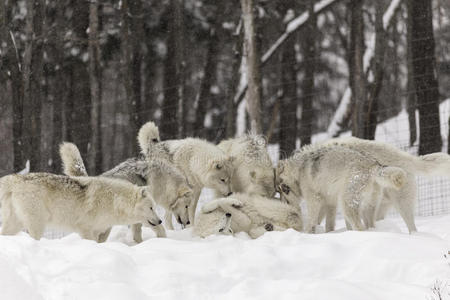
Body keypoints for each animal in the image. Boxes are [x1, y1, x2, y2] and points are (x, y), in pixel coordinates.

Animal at [0, 172, 162, 240]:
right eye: (151, 208)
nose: (160, 221)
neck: (114, 201)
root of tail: (15, 179)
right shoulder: (85, 229)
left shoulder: (99, 230)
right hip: (37, 225)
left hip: (15, 224)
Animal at [276, 144, 406, 233]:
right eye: (279, 191)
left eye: (283, 190)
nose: (284, 204)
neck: (298, 170)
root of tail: (374, 164)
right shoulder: (329, 203)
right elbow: (328, 224)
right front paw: (328, 233)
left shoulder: (315, 201)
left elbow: (311, 221)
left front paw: (307, 234)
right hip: (366, 209)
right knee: (370, 226)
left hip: (346, 205)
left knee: (359, 227)